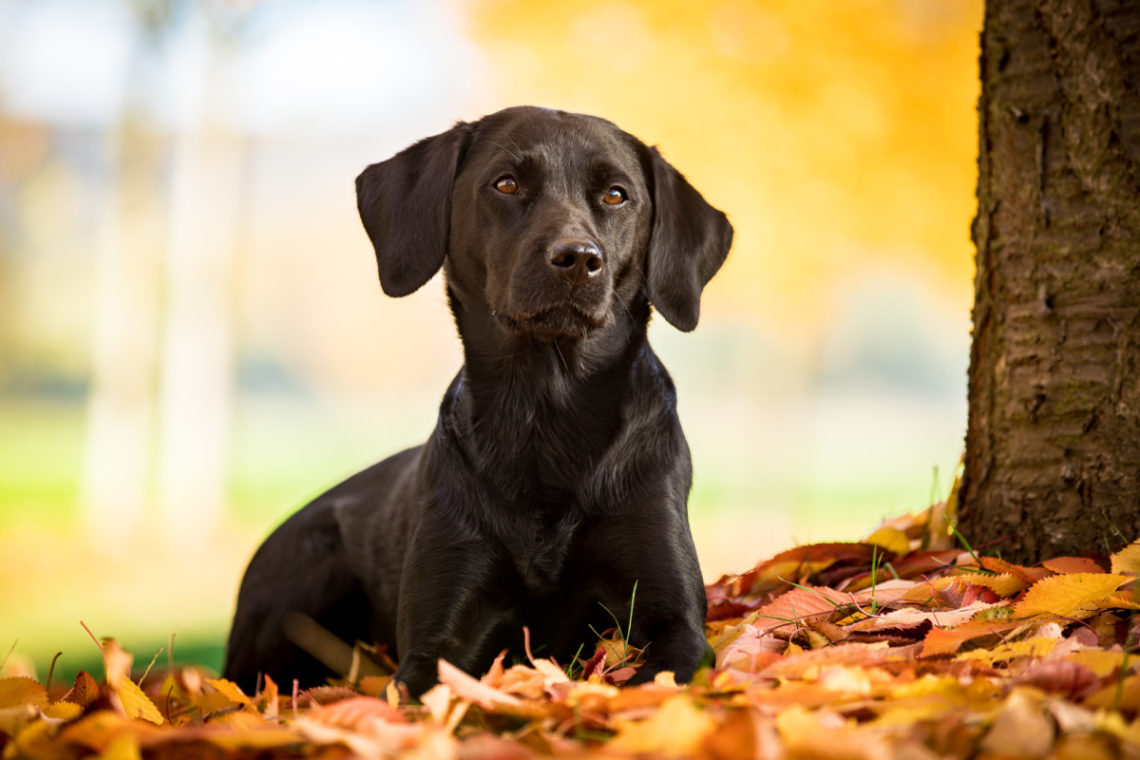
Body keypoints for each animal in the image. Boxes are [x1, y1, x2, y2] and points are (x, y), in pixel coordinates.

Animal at [224, 108, 729, 701]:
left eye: (615, 195)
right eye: (506, 184)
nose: (578, 259)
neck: (545, 413)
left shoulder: (675, 617)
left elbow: (658, 675)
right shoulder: (437, 641)